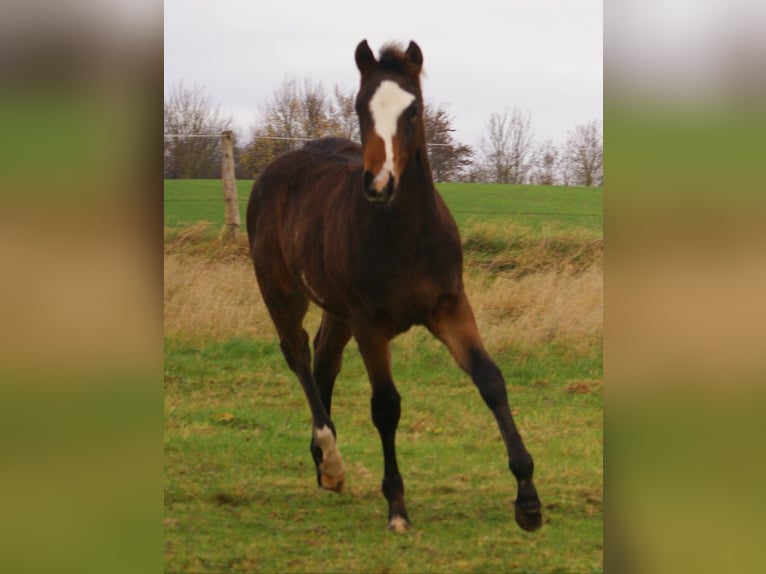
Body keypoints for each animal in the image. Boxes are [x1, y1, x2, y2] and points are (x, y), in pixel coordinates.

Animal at [246, 40, 542, 533]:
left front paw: (528, 499)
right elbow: (385, 405)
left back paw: (322, 464)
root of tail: (276, 169)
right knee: (299, 355)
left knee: (325, 360)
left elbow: (490, 380)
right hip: (282, 293)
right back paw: (331, 459)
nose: (379, 184)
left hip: (336, 309)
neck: (406, 235)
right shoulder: (370, 322)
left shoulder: (450, 307)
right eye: (359, 107)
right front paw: (397, 506)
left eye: (413, 110)